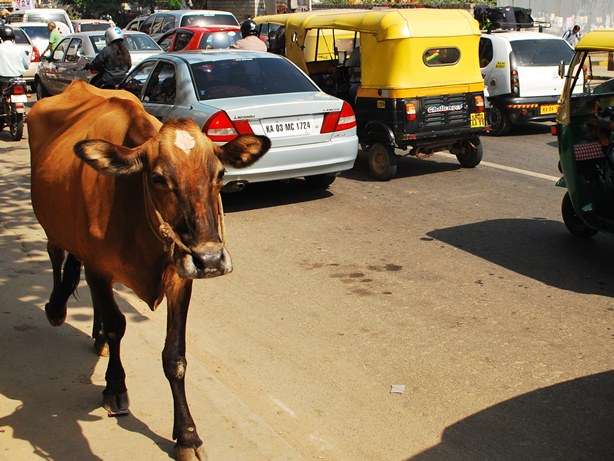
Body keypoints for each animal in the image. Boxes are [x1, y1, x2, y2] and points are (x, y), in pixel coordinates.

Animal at [28, 81, 270, 458]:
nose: (211, 260)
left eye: (220, 174)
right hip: (51, 221)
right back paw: (57, 308)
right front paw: (115, 387)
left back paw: (95, 335)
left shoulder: (180, 277)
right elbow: (117, 326)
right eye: (157, 178)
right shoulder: (99, 267)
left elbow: (175, 356)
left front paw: (186, 434)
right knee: (57, 253)